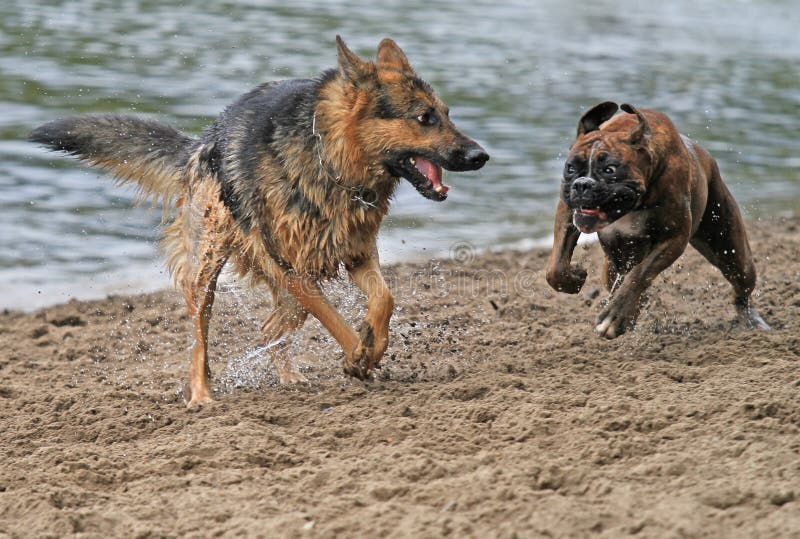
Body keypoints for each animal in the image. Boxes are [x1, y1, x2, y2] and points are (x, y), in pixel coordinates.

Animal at [544, 102, 768, 338]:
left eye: (610, 170)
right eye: (570, 168)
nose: (582, 184)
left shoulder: (673, 238)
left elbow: (639, 275)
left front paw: (614, 315)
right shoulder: (567, 211)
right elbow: (555, 267)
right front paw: (574, 277)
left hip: (730, 250)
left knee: (741, 286)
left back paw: (752, 320)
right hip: (612, 267)